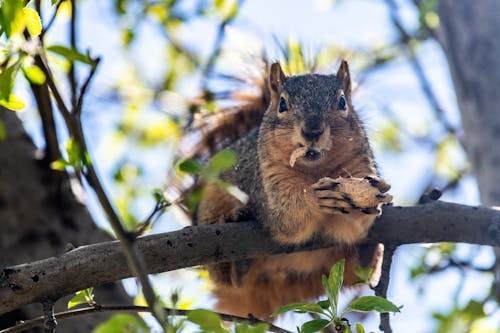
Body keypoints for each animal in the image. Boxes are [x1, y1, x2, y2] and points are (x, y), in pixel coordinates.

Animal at [178, 59, 392, 320]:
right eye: (282, 104)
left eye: (342, 102)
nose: (312, 131)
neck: (315, 170)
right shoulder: (267, 179)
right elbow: (284, 216)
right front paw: (316, 197)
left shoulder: (360, 165)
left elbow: (354, 226)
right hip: (211, 210)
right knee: (230, 279)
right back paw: (239, 251)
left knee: (359, 272)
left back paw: (367, 251)